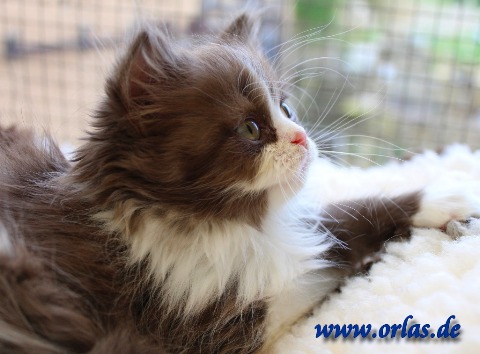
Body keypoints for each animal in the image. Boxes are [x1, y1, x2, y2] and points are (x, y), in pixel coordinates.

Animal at [1, 13, 478, 354]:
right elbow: (326, 263)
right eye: (250, 129)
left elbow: (339, 222)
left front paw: (443, 197)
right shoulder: (206, 328)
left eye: (286, 109)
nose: (301, 136)